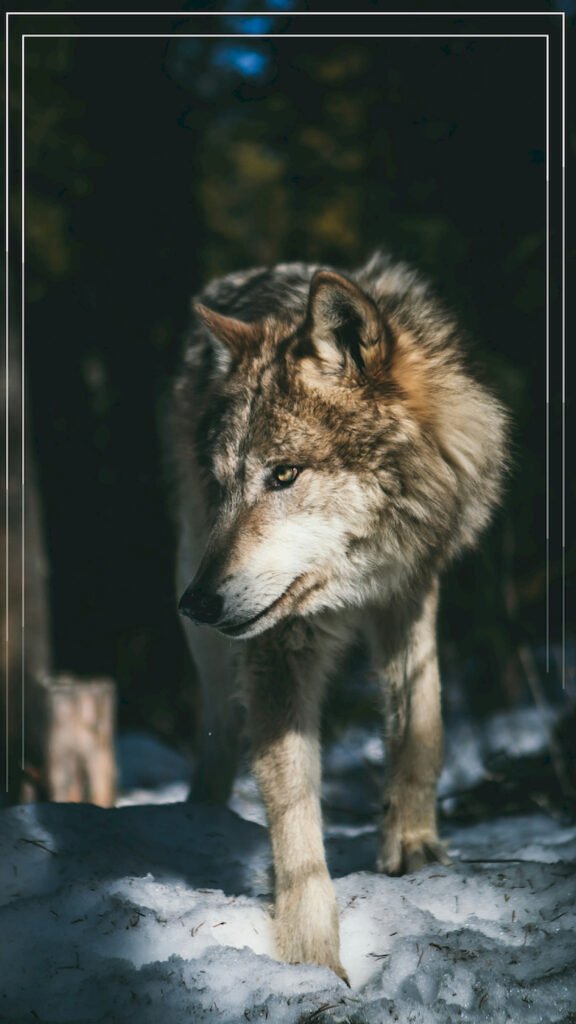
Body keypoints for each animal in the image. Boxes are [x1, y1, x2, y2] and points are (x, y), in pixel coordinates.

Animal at [170, 251, 508, 982]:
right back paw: (197, 815)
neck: (355, 578)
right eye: (225, 484)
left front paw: (413, 848)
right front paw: (311, 959)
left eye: (284, 474)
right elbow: (293, 809)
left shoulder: (411, 587)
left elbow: (421, 726)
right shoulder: (277, 644)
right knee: (218, 726)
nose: (196, 602)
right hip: (195, 587)